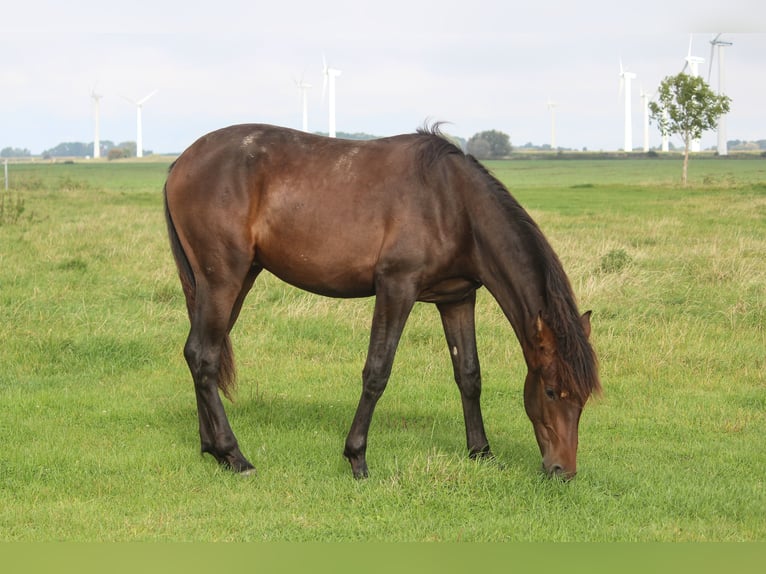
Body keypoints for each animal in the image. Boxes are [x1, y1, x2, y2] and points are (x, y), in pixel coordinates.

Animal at [165, 122, 604, 482]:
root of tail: (180, 163)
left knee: (199, 354)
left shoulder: (458, 298)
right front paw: (356, 457)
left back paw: (212, 448)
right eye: (551, 391)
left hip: (234, 280)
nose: (563, 471)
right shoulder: (396, 287)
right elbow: (377, 372)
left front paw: (481, 451)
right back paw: (234, 455)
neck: (453, 203)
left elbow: (469, 375)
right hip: (223, 278)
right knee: (204, 355)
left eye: (583, 397)